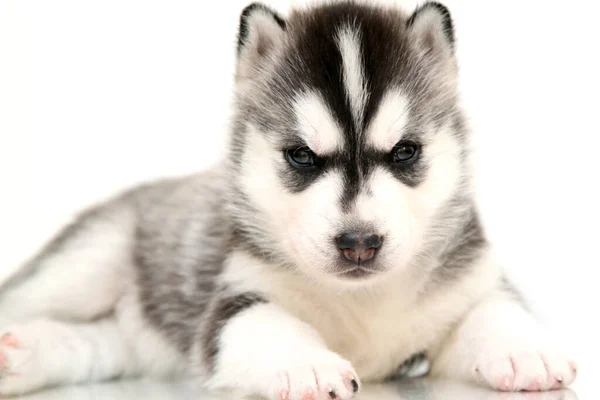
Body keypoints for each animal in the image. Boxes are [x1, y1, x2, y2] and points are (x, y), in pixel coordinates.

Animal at [2, 1, 580, 398]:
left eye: (405, 152)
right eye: (302, 156)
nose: (359, 244)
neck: (363, 302)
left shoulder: (466, 285)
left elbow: (494, 311)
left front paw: (526, 349)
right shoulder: (234, 301)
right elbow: (269, 325)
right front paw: (308, 363)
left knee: (99, 344)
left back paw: (21, 357)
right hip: (85, 265)